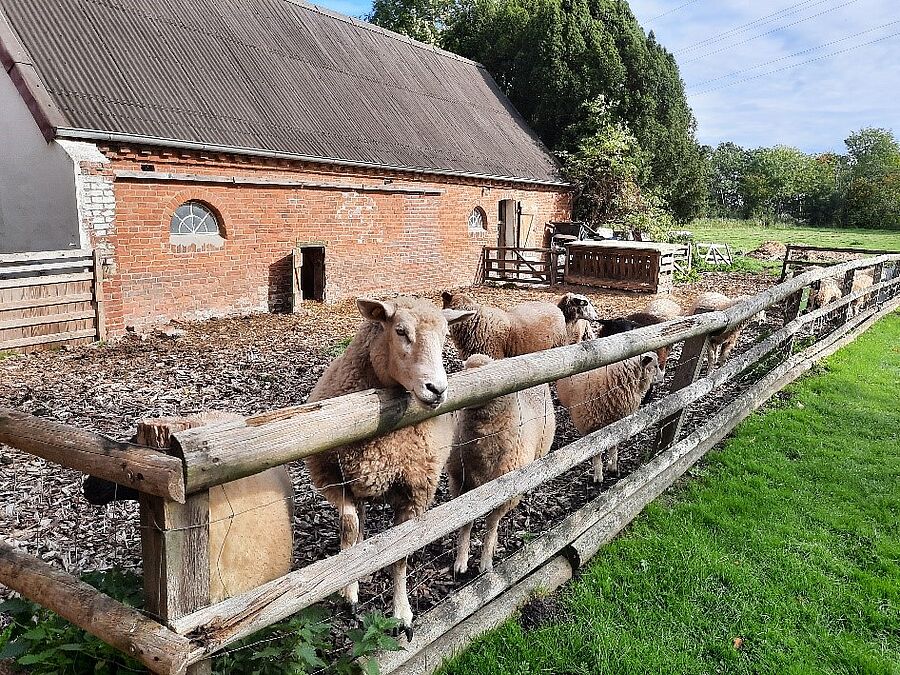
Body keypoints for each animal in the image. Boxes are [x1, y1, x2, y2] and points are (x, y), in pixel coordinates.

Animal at [304, 298, 472, 640]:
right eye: (400, 331)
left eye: (445, 336)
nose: (437, 389)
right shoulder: (332, 479)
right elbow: (349, 527)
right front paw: (350, 590)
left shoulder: (417, 493)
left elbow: (400, 555)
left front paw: (402, 614)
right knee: (361, 520)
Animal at [448, 354, 556, 576]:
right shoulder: (461, 484)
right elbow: (466, 524)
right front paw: (461, 561)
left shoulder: (505, 492)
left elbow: (491, 525)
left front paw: (486, 562)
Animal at [556, 330, 660, 484]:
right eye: (655, 366)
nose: (663, 376)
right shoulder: (591, 426)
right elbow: (597, 453)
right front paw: (598, 476)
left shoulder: (616, 421)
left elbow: (613, 445)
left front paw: (613, 466)